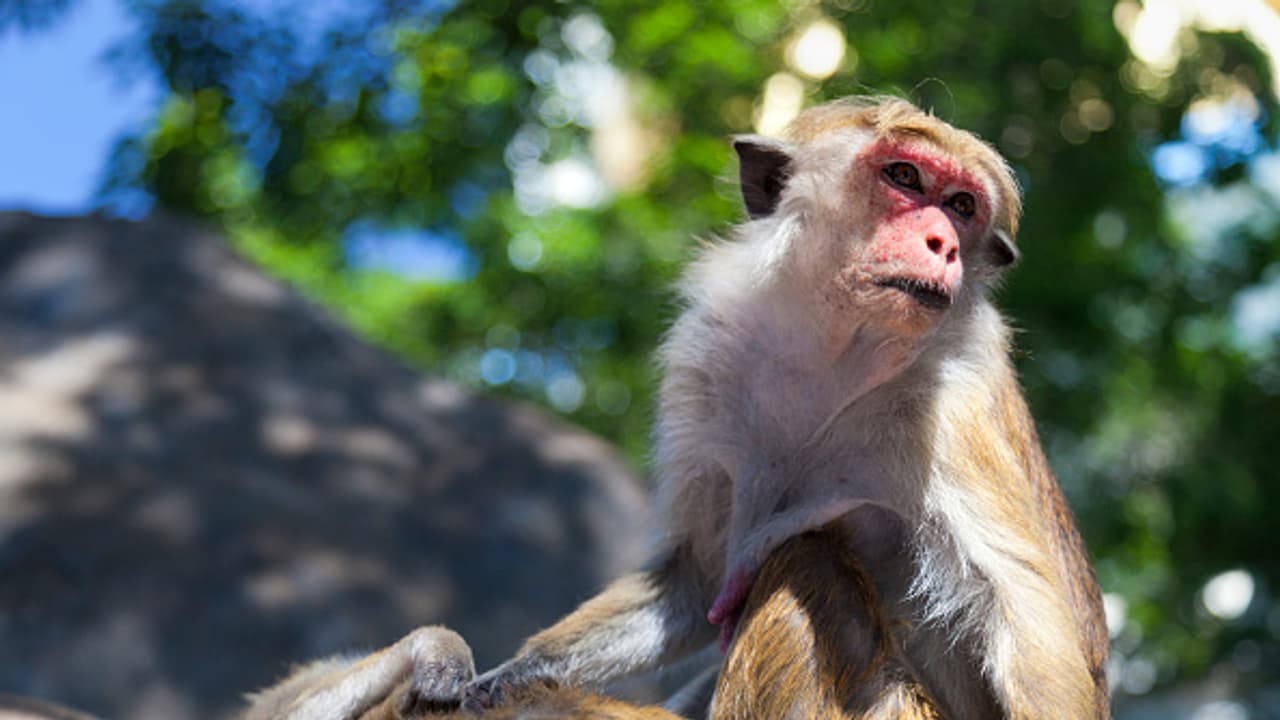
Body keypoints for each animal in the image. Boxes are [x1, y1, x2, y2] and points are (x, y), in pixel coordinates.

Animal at [459, 96, 1109, 719]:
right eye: (904, 176)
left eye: (962, 206)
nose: (943, 243)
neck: (833, 350)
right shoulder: (703, 355)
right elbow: (698, 576)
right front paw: (512, 674)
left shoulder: (951, 401)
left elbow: (1019, 608)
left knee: (805, 556)